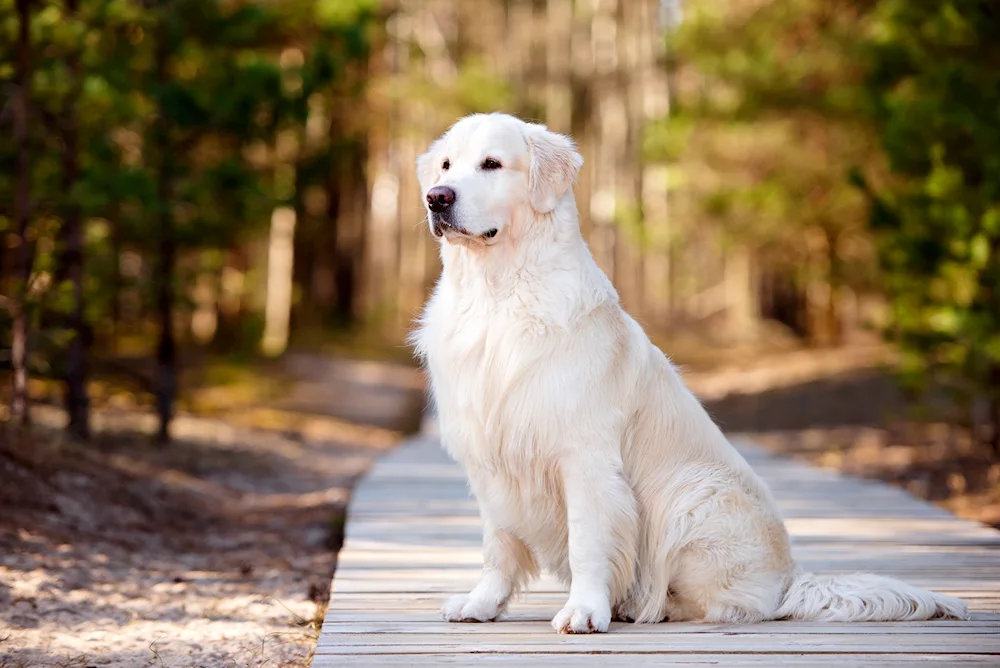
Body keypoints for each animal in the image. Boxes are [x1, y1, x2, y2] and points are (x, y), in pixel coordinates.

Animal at [408, 113, 968, 632]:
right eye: (446, 166)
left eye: (492, 164)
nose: (436, 198)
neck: (498, 294)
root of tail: (792, 578)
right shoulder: (491, 456)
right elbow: (498, 545)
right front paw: (482, 603)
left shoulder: (583, 454)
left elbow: (588, 541)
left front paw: (585, 610)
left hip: (693, 494)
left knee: (737, 604)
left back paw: (653, 606)